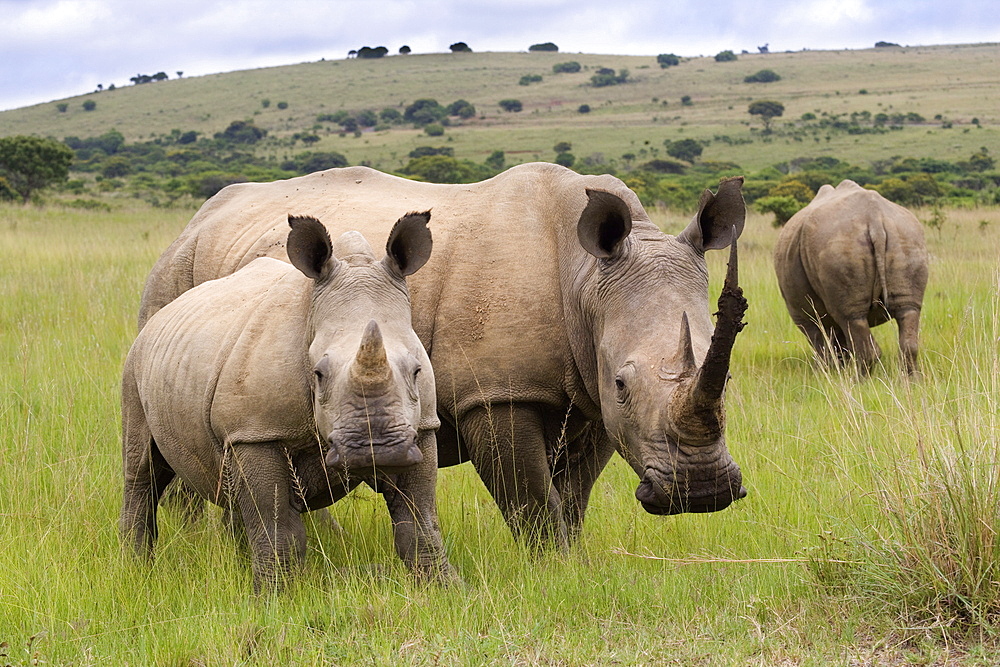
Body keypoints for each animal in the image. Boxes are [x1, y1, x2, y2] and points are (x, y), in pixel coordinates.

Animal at [118, 211, 454, 592]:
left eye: (416, 370)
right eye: (318, 374)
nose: (377, 450)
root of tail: (164, 311)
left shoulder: (421, 428)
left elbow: (420, 518)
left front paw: (446, 588)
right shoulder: (257, 433)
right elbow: (276, 523)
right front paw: (272, 597)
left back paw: (237, 564)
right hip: (136, 363)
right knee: (142, 471)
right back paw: (135, 569)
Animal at [141, 164, 752, 552]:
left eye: (728, 378)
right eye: (624, 383)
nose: (703, 493)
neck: (586, 280)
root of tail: (196, 219)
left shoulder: (591, 393)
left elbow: (574, 495)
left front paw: (574, 562)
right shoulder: (500, 394)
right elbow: (532, 499)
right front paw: (550, 568)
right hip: (173, 276)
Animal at [772, 177, 928, 376]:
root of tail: (874, 217)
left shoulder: (801, 312)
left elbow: (821, 339)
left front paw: (823, 372)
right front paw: (834, 369)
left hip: (837, 246)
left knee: (850, 317)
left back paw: (859, 380)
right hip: (906, 237)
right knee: (908, 310)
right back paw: (911, 380)